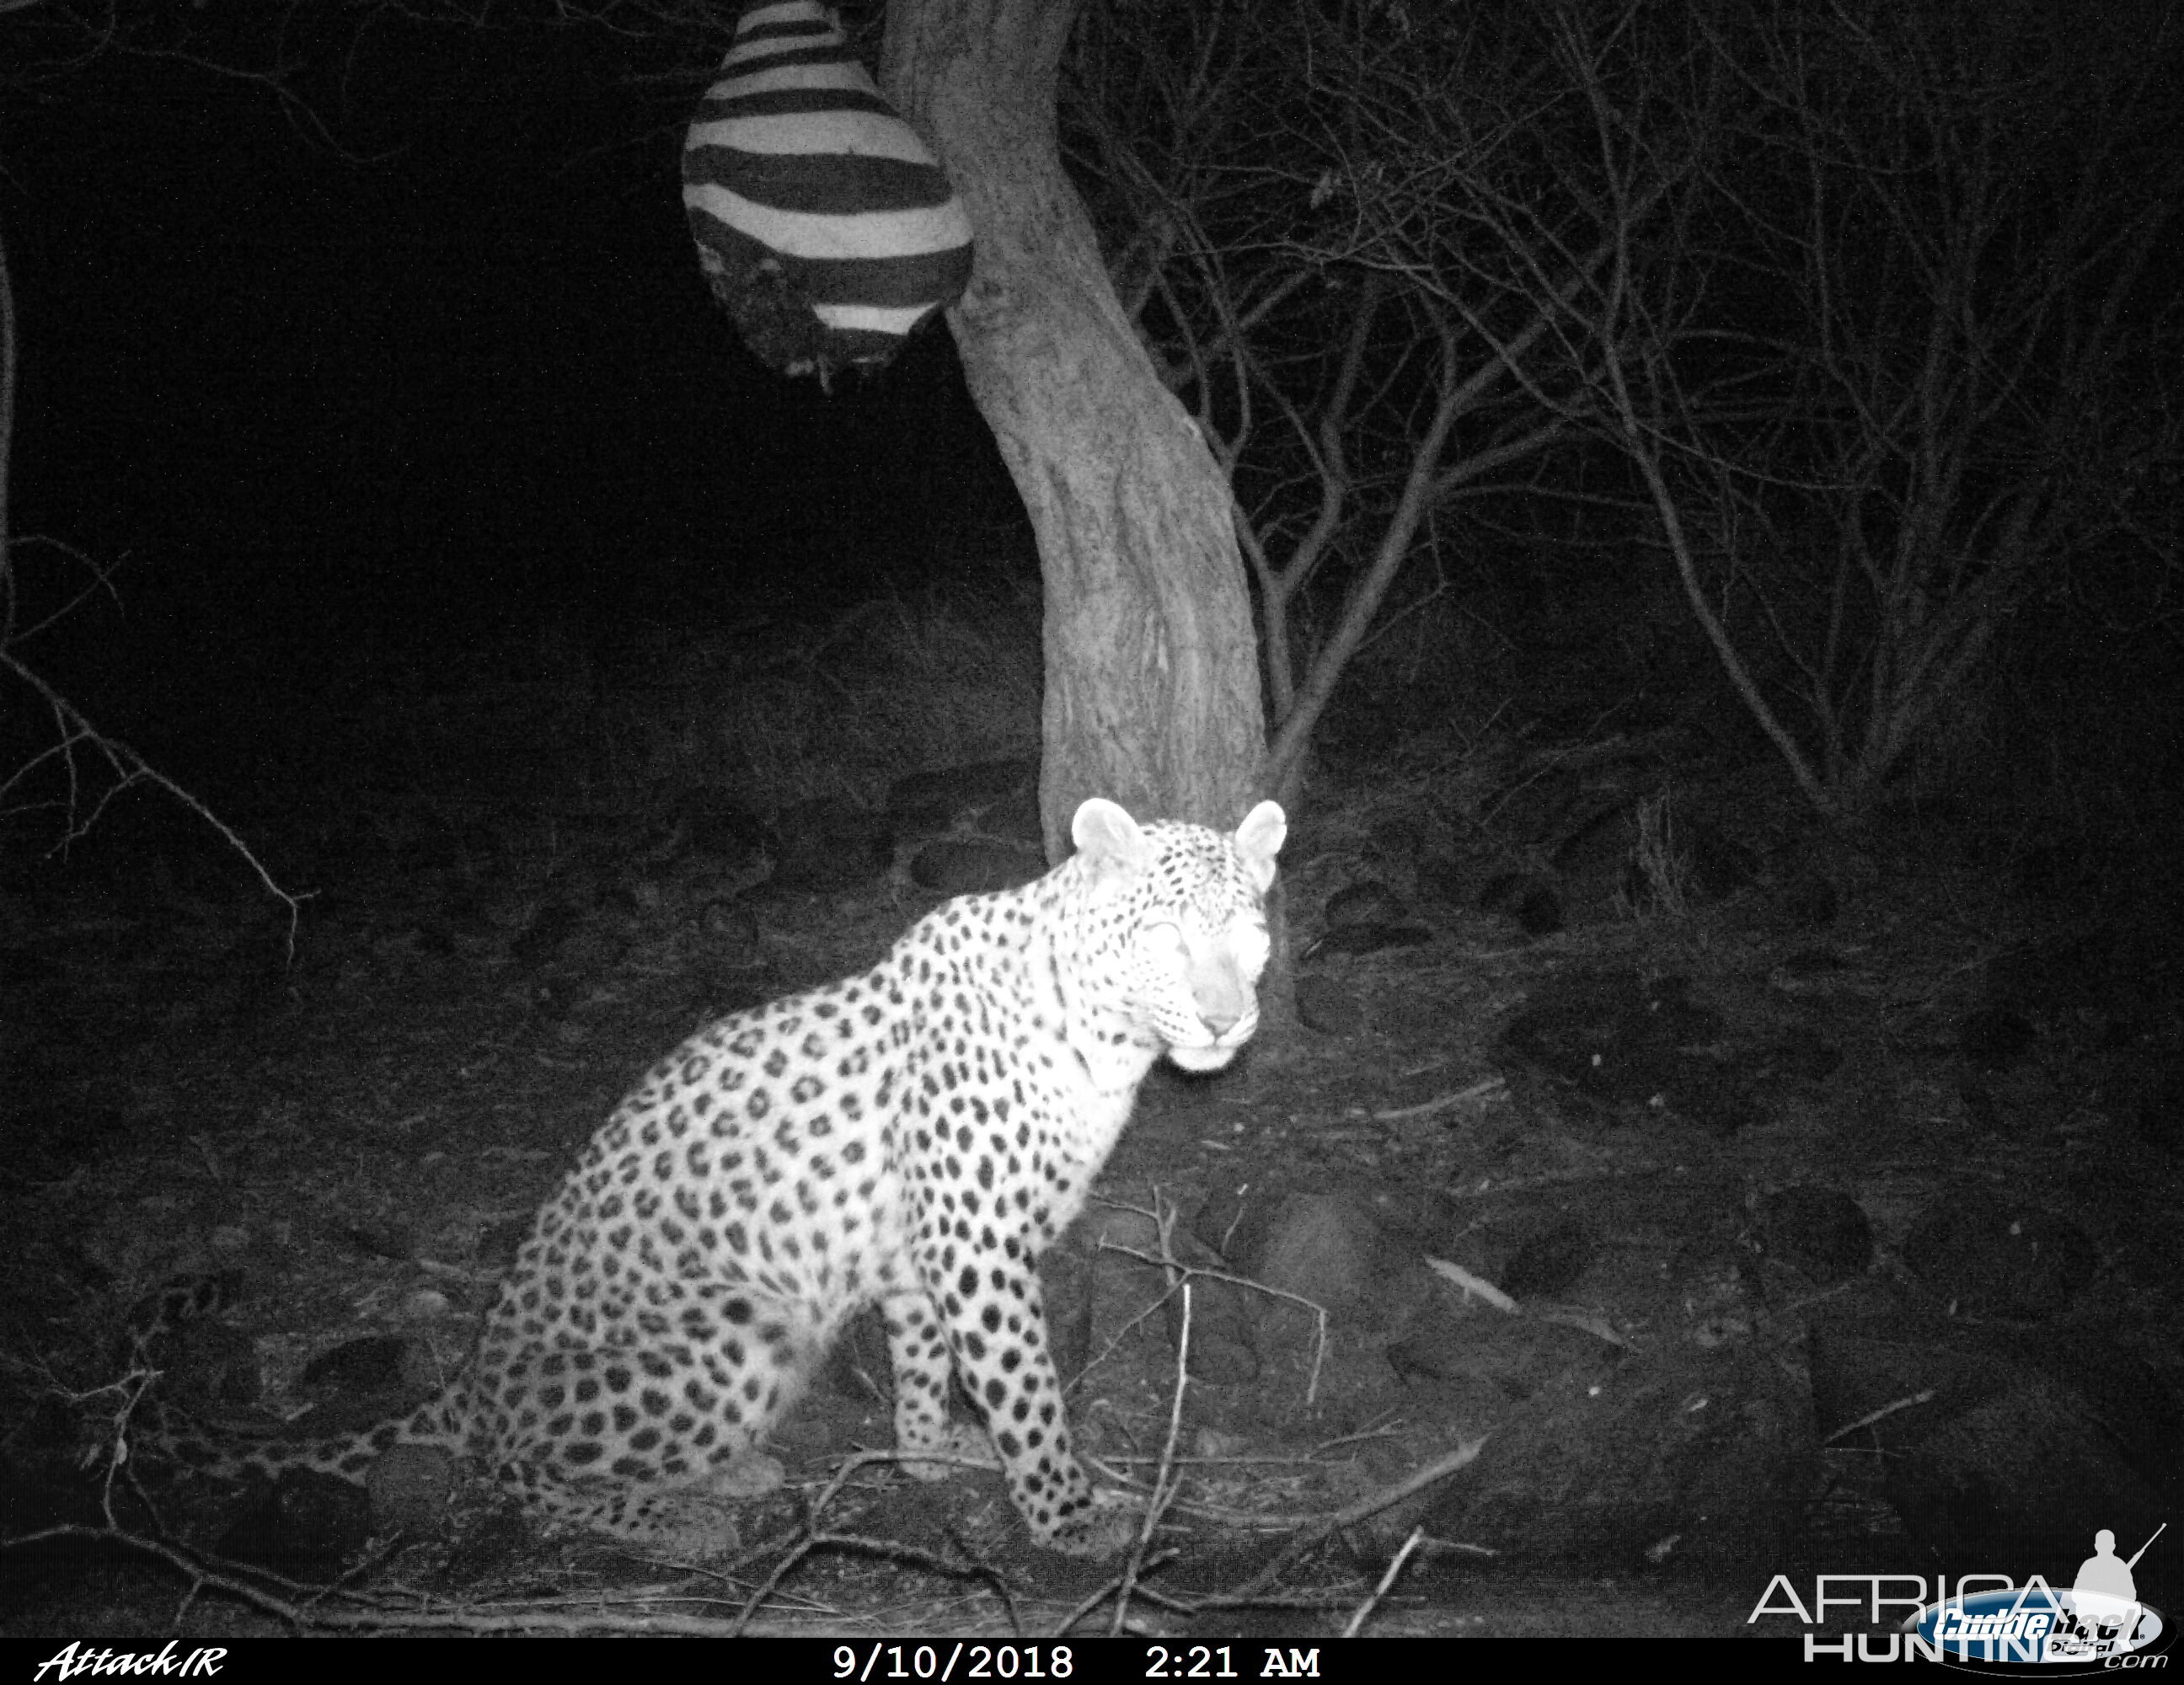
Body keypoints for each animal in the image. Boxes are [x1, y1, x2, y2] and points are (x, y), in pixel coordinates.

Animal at [145, 794, 1284, 1562]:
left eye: (1251, 934)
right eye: (1167, 935)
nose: (1229, 1019)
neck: (1108, 1038)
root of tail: (472, 1374)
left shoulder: (922, 1251)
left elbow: (924, 1361)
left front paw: (927, 1453)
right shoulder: (977, 1246)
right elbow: (1026, 1385)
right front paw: (1067, 1515)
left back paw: (727, 1470)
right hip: (737, 1332)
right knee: (519, 1471)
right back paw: (681, 1514)